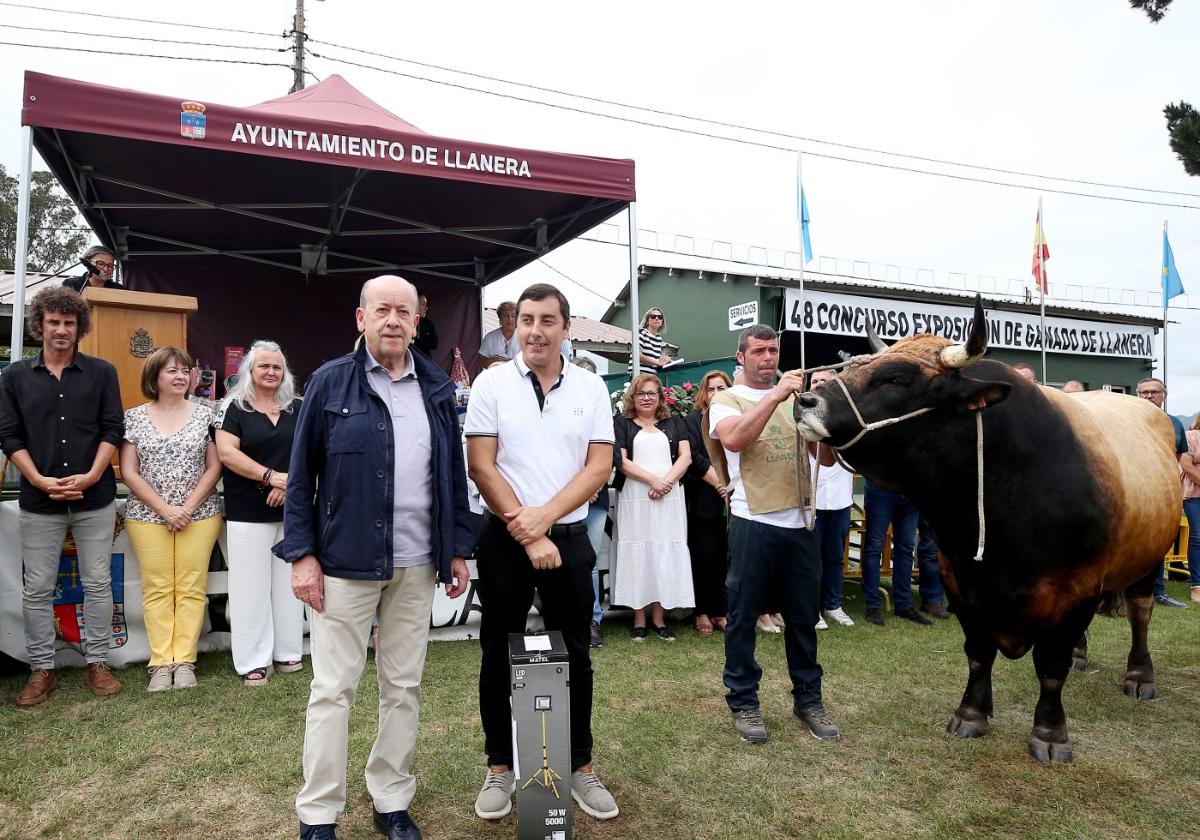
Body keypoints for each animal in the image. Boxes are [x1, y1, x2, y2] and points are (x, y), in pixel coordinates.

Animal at [792, 298, 1176, 763]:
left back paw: (1140, 675)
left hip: (1149, 559)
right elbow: (978, 653)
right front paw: (971, 714)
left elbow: (1052, 666)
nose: (805, 400)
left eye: (897, 378)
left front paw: (1050, 733)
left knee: (1140, 613)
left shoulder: (1077, 588)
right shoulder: (959, 578)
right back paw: (1085, 656)